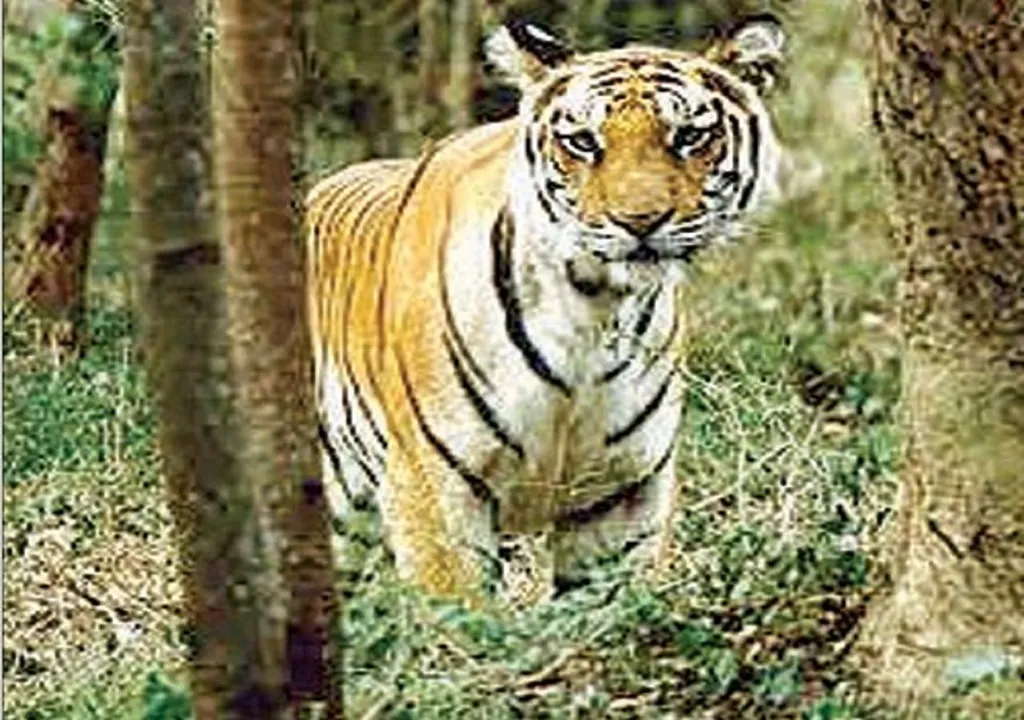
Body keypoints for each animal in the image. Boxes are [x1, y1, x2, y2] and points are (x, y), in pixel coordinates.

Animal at [306, 17, 785, 608]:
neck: (593, 307)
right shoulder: (435, 488)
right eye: (583, 142)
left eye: (689, 136)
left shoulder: (623, 497)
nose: (640, 221)